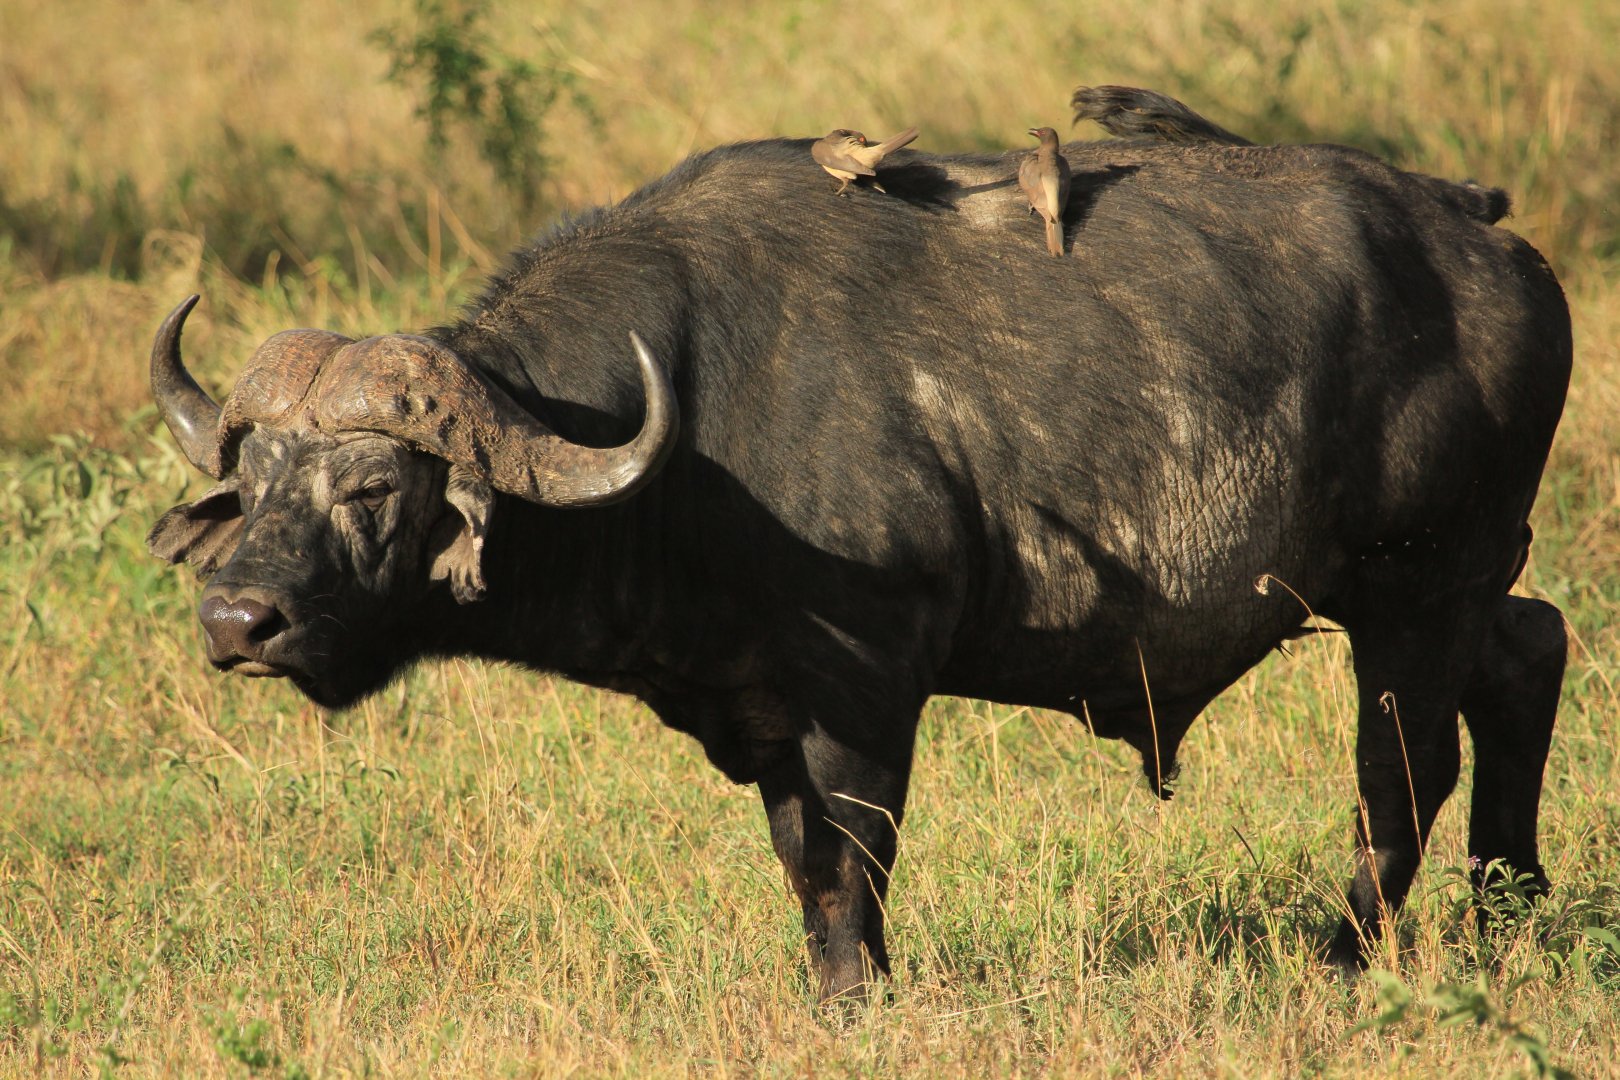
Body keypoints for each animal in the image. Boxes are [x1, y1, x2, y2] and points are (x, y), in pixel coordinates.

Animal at [148, 94, 1571, 1002]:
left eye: (374, 484)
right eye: (254, 477)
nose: (237, 623)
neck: (688, 429)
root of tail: (1483, 228)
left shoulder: (868, 686)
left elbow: (852, 850)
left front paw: (858, 996)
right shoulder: (766, 707)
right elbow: (803, 858)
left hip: (1411, 594)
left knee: (1402, 771)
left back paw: (1346, 953)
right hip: (1462, 585)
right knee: (1532, 652)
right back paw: (1513, 903)